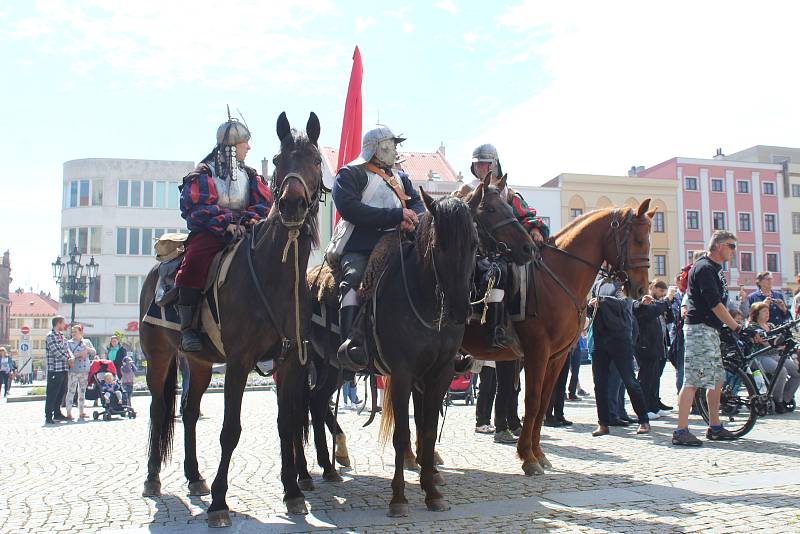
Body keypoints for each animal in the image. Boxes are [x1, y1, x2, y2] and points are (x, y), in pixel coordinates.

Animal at [139, 112, 324, 528]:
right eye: (280, 159)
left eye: (316, 160)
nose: (291, 205)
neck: (275, 276)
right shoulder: (239, 363)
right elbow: (230, 431)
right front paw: (220, 504)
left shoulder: (290, 361)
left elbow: (287, 424)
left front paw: (293, 493)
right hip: (159, 357)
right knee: (159, 410)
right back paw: (153, 478)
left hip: (199, 362)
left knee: (189, 411)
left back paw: (194, 476)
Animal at [462, 200, 656, 478]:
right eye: (638, 240)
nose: (641, 289)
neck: (558, 278)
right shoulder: (537, 352)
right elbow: (532, 401)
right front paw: (527, 457)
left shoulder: (557, 356)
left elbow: (543, 403)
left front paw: (539, 454)